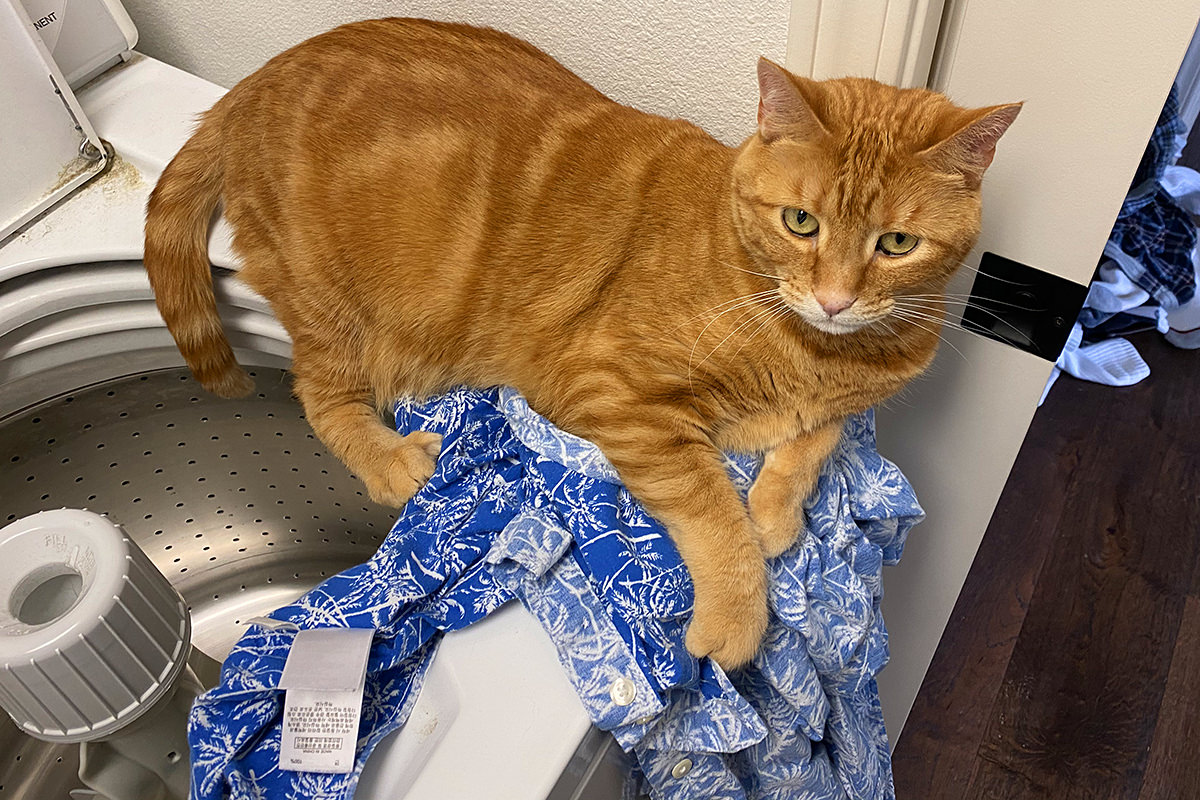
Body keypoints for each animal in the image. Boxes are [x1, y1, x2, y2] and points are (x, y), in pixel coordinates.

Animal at [140, 18, 1022, 671]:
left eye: (897, 244)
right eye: (800, 223)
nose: (836, 298)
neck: (815, 348)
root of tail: (252, 85)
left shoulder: (840, 402)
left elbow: (817, 439)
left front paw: (776, 509)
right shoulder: (616, 394)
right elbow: (714, 511)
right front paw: (738, 613)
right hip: (330, 305)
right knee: (318, 395)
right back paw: (390, 459)